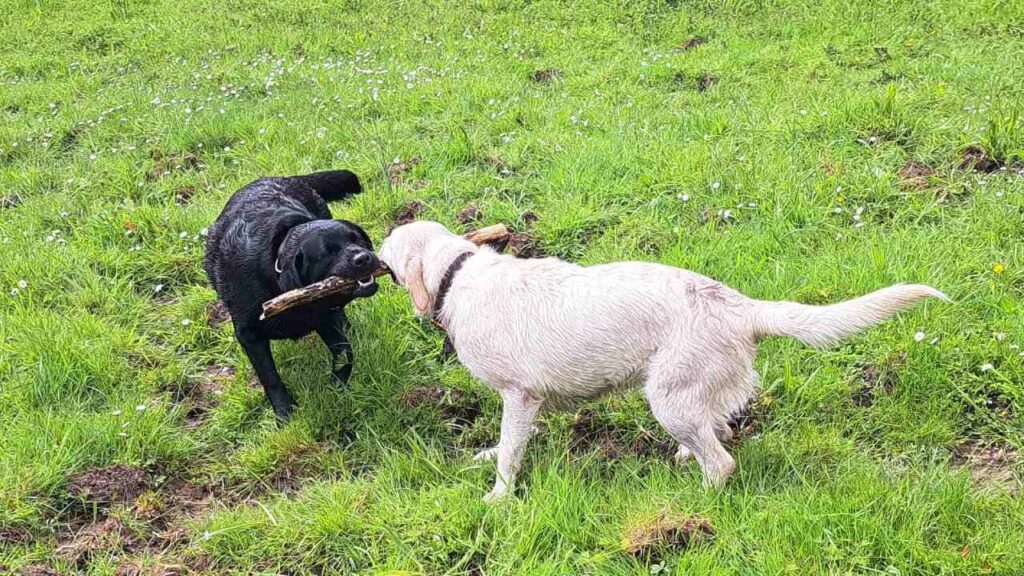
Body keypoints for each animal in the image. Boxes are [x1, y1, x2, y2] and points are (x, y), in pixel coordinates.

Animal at [201, 169, 378, 416]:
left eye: (357, 238)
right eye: (328, 252)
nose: (364, 258)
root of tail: (281, 177)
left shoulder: (325, 318)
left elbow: (344, 353)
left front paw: (338, 385)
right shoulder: (249, 334)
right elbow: (269, 377)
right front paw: (284, 411)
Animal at [380, 219, 946, 498]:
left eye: (384, 244)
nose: (367, 256)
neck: (457, 275)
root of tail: (739, 307)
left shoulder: (519, 397)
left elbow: (510, 457)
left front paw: (498, 499)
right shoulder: (525, 404)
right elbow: (505, 447)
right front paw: (489, 459)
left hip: (668, 399)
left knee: (722, 463)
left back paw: (696, 498)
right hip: (687, 399)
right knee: (716, 432)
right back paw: (683, 459)